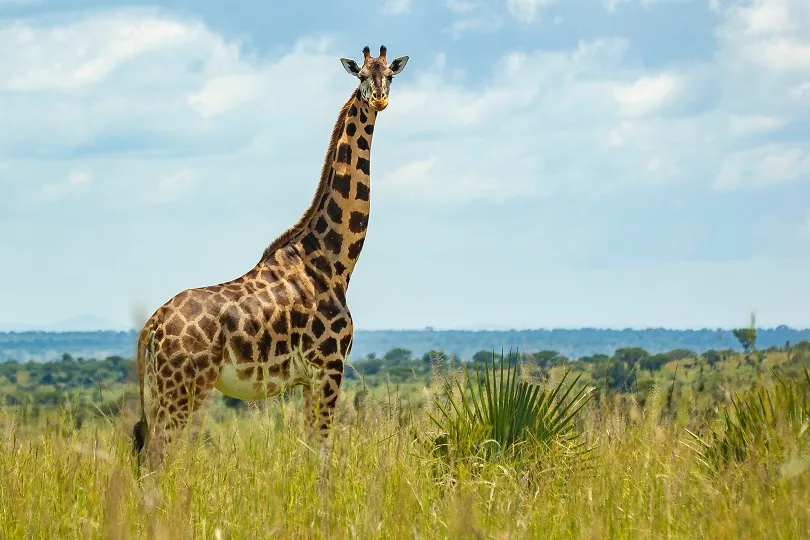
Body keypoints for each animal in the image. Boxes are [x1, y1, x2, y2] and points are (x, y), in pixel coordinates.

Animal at [133, 45, 410, 468]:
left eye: (390, 76)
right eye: (362, 76)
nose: (379, 98)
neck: (333, 262)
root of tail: (152, 325)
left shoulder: (311, 376)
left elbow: (312, 449)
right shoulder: (329, 365)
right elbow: (322, 453)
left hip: (160, 389)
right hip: (182, 386)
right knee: (155, 456)